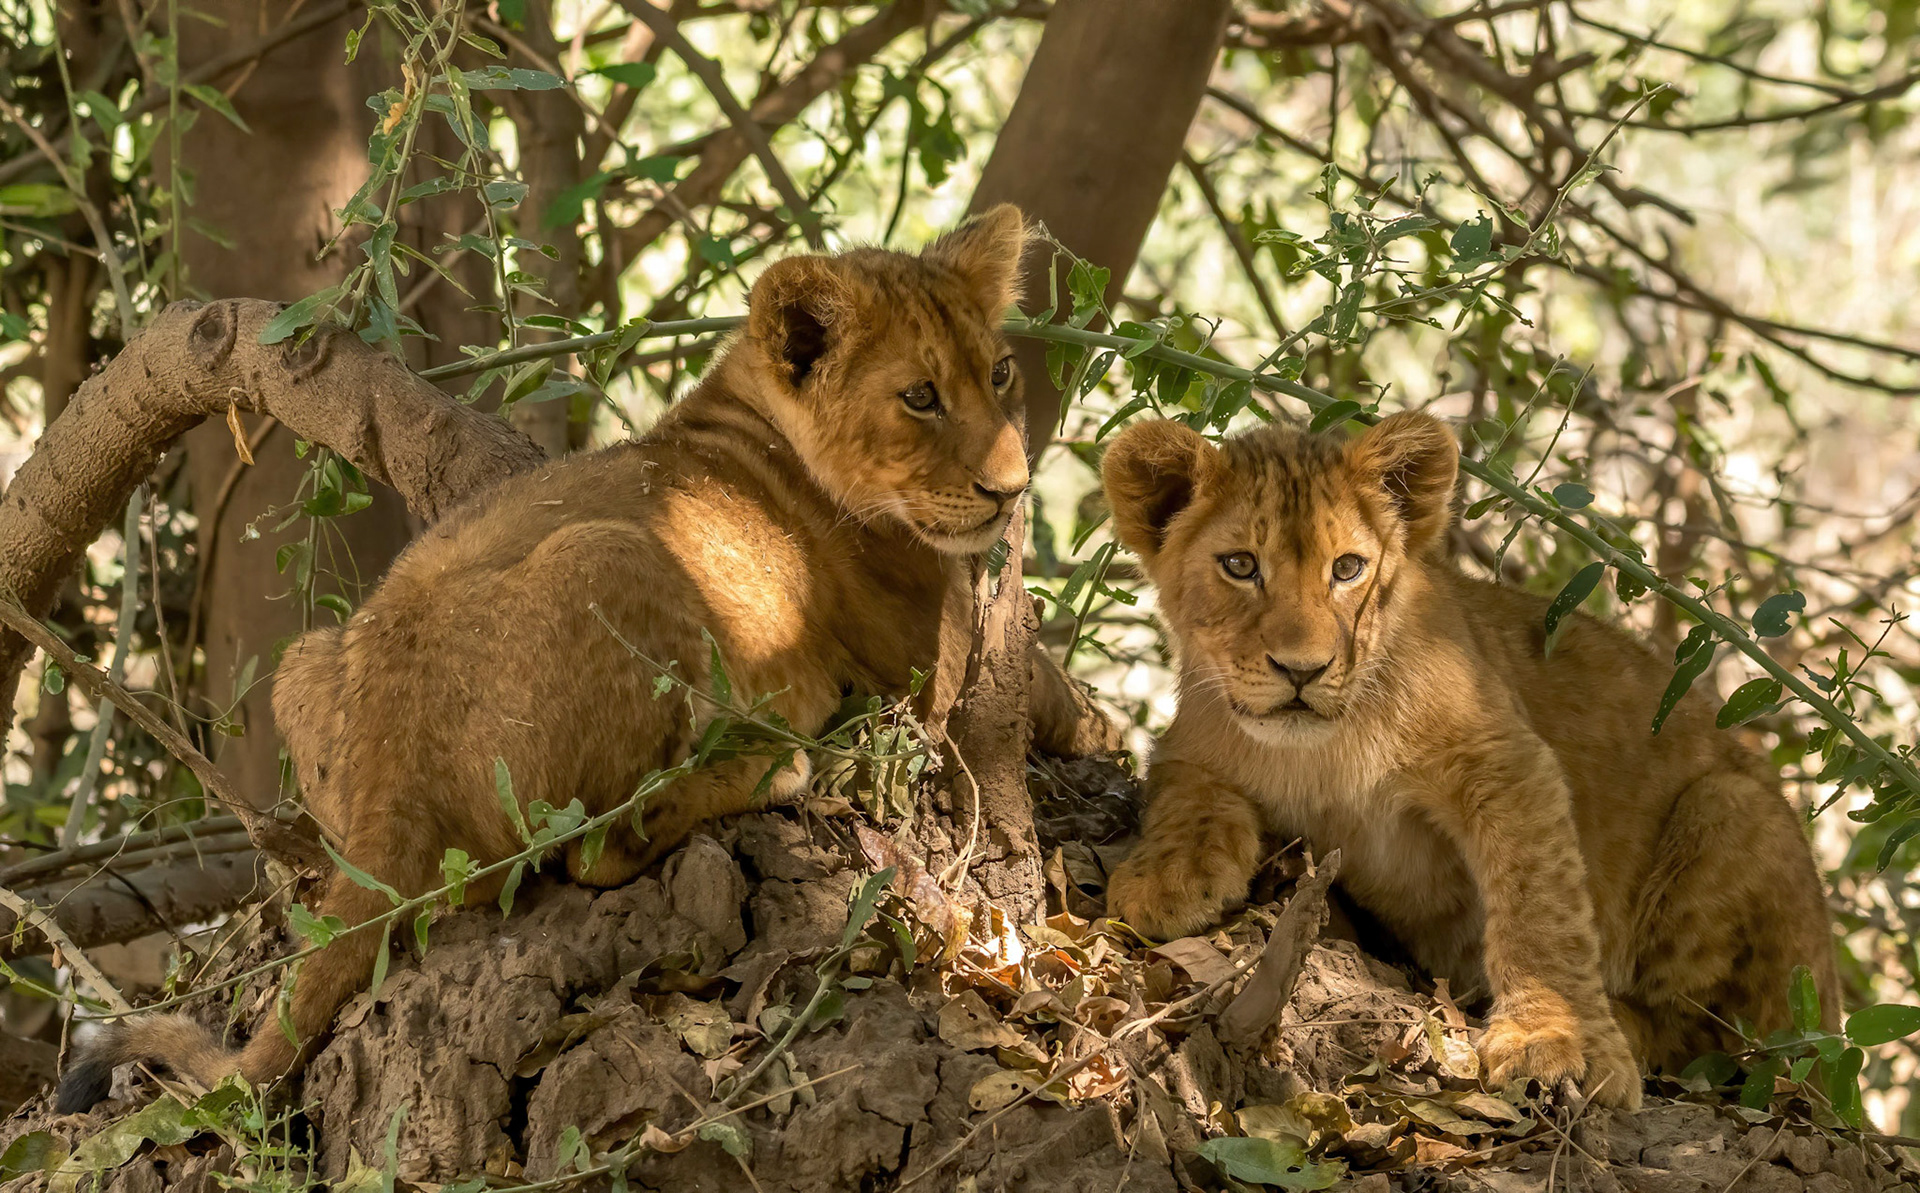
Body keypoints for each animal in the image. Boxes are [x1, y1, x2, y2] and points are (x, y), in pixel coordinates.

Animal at [56, 205, 1116, 1112]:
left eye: (1000, 374)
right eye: (920, 397)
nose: (1012, 487)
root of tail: (393, 765)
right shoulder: (927, 661)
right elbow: (1038, 678)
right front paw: (1101, 726)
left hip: (305, 658)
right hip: (617, 555)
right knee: (606, 844)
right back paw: (778, 760)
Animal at [1100, 411, 1837, 1111]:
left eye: (1348, 569)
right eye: (1240, 566)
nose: (1302, 670)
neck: (1320, 752)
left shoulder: (1506, 759)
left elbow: (1541, 906)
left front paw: (1559, 1040)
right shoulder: (1189, 740)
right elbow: (1188, 793)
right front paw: (1165, 878)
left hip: (1733, 810)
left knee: (1722, 1043)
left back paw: (1630, 1027)